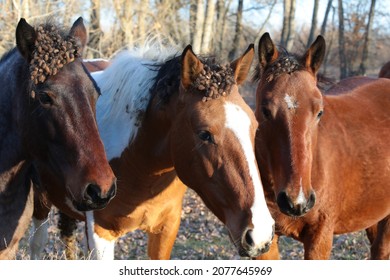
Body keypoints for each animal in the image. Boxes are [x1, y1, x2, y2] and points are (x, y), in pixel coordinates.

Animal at [29, 43, 274, 260]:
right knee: (37, 243)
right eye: (205, 134)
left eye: (254, 127)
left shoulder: (166, 229)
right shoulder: (100, 235)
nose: (260, 234)